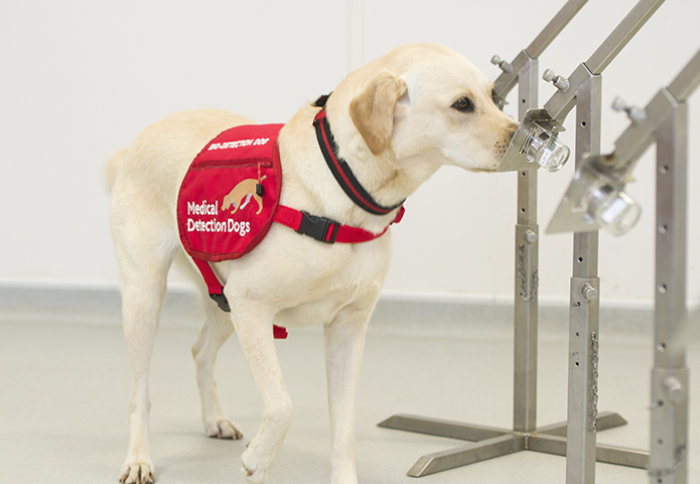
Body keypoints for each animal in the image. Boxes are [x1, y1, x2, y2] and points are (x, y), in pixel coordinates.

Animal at [108, 43, 516, 482]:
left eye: (494, 97)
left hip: (222, 300)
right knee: (139, 392)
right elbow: (282, 404)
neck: (344, 188)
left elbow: (344, 424)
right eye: (462, 104)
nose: (521, 137)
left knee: (200, 351)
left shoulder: (347, 328)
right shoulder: (252, 306)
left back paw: (213, 419)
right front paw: (259, 458)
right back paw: (139, 457)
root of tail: (138, 142)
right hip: (146, 295)